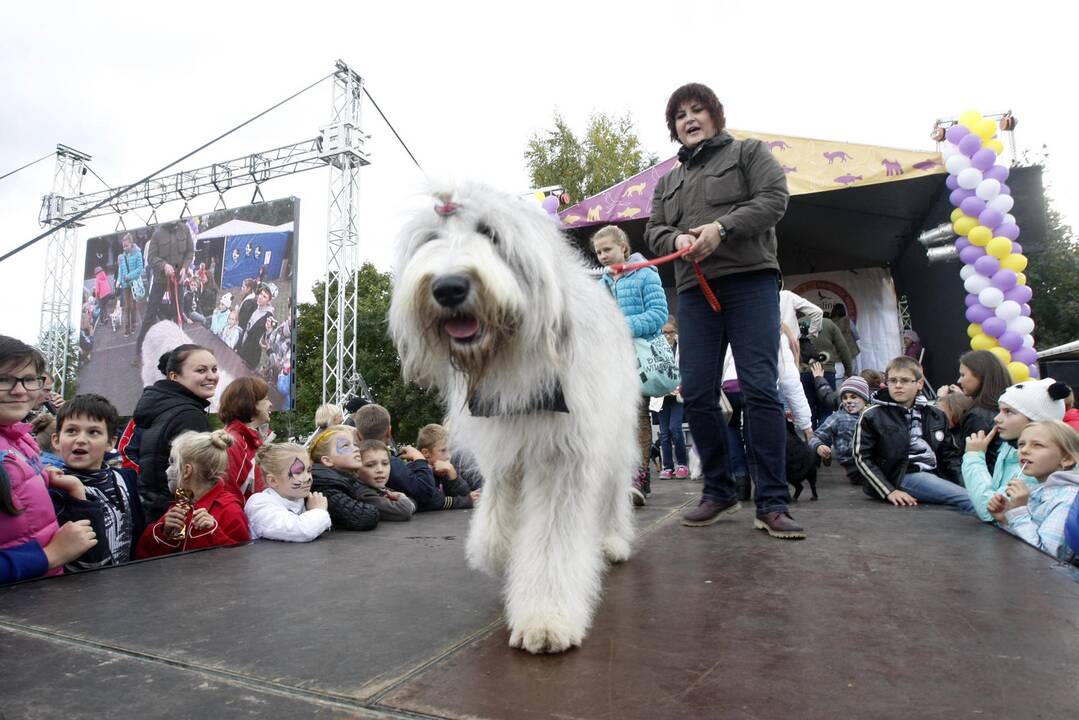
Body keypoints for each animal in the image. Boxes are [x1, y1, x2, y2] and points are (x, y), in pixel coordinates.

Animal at [388, 180, 638, 651]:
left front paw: (546, 619)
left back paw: (612, 541)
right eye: (430, 239)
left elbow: (552, 543)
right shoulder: (504, 448)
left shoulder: (563, 453)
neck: (511, 358)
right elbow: (498, 510)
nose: (448, 287)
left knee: (614, 490)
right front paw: (498, 553)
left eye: (490, 233)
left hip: (615, 433)